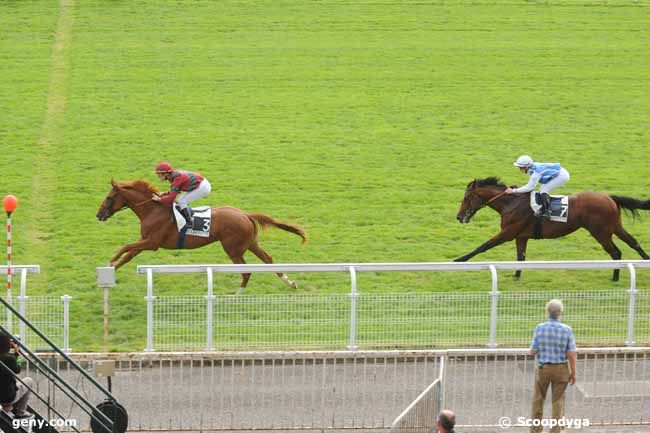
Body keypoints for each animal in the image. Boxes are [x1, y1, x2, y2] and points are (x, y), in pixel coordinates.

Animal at [96, 177, 306, 292]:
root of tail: (245, 214)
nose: (99, 215)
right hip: (250, 243)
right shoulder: (144, 241)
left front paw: (110, 262)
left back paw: (236, 295)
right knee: (268, 259)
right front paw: (111, 270)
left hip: (233, 249)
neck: (152, 210)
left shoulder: (152, 242)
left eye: (109, 197)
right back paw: (290, 282)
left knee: (246, 271)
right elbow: (127, 256)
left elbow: (125, 247)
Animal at [456, 176, 648, 280]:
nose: (459, 217)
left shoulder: (508, 232)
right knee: (633, 243)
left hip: (600, 232)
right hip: (614, 226)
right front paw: (517, 275)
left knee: (615, 252)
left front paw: (459, 260)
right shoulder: (521, 236)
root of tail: (609, 197)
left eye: (466, 198)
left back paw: (615, 277)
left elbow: (483, 246)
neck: (511, 203)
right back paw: (645, 260)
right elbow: (520, 257)